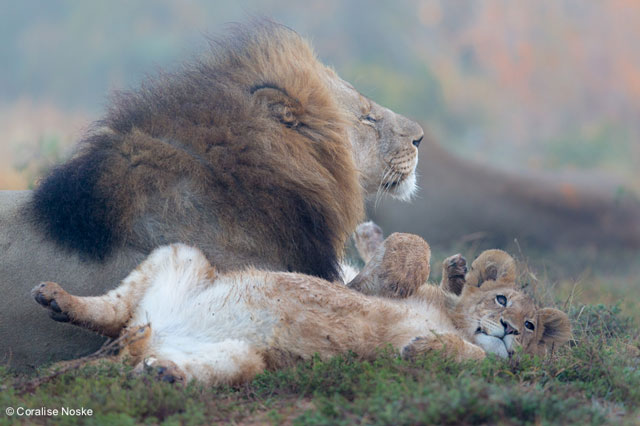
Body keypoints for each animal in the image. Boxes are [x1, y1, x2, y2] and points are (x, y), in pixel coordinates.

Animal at [30, 231, 568, 384]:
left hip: (242, 358)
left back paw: (165, 374)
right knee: (114, 311)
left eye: (530, 325)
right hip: (182, 255)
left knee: (141, 349)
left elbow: (476, 358)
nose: (507, 329)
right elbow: (407, 254)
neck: (452, 319)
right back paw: (55, 296)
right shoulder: (372, 292)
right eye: (501, 300)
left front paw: (422, 349)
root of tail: (154, 334)